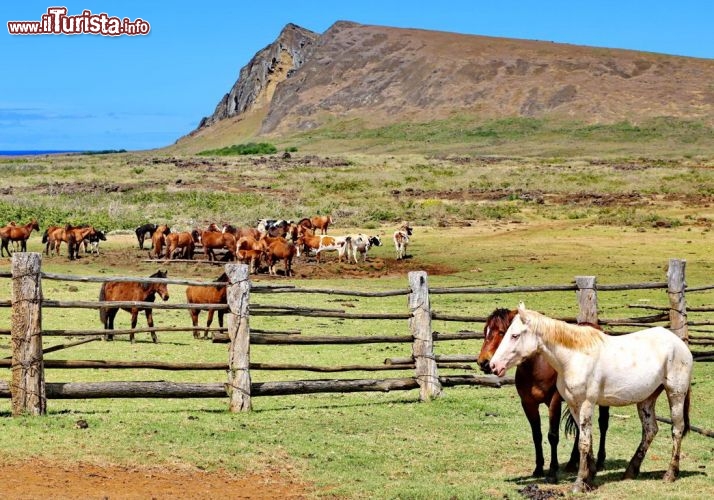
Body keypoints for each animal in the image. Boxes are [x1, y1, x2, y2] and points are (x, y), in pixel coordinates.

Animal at [476, 306, 608, 482]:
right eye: (486, 331)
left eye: (502, 332)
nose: (484, 362)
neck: (536, 367)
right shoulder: (528, 403)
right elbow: (536, 435)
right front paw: (538, 469)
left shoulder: (554, 401)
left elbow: (552, 435)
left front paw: (552, 472)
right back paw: (572, 463)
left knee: (603, 424)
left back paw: (599, 461)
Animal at [490, 302, 688, 494]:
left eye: (514, 335)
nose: (492, 365)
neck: (574, 357)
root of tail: (679, 343)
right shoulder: (573, 405)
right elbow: (587, 439)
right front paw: (589, 478)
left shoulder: (585, 404)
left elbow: (583, 443)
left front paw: (579, 484)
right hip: (647, 399)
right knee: (650, 430)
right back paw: (631, 471)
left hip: (675, 394)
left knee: (677, 429)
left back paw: (670, 474)